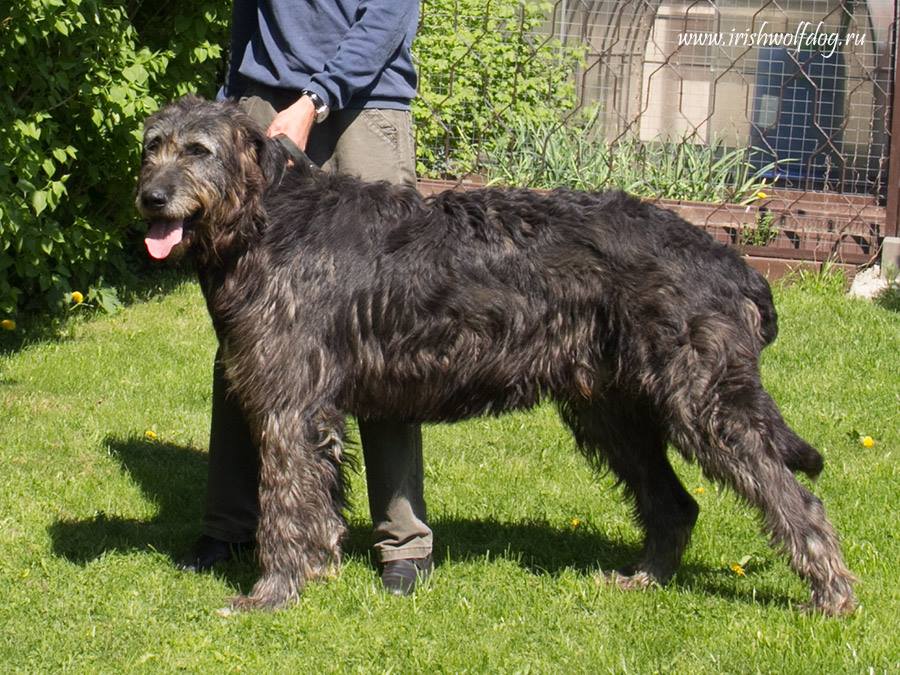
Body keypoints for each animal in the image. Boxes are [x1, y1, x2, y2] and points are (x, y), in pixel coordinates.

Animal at [137, 96, 856, 616]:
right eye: (152, 148)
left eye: (198, 151)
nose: (151, 199)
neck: (267, 216)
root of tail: (729, 260)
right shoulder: (309, 409)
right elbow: (318, 501)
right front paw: (315, 572)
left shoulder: (290, 406)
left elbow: (286, 505)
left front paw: (273, 593)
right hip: (612, 413)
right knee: (675, 504)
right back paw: (645, 578)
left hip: (706, 406)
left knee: (795, 500)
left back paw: (832, 595)